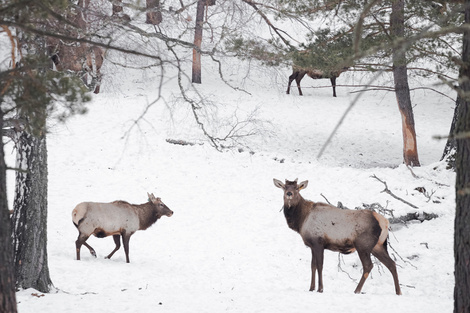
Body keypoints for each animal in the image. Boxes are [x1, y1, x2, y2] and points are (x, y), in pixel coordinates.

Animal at [274, 177, 402, 294]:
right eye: (284, 187)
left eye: (296, 188)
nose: (289, 193)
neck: (301, 220)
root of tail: (385, 222)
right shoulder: (311, 245)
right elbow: (312, 266)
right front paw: (311, 288)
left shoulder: (318, 243)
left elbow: (319, 265)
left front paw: (320, 289)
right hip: (378, 246)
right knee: (391, 264)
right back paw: (398, 292)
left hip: (363, 245)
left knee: (368, 266)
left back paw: (356, 290)